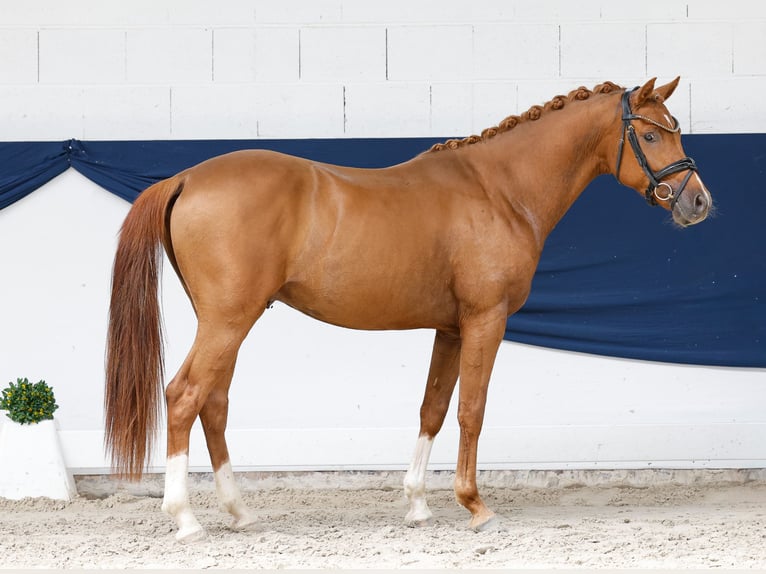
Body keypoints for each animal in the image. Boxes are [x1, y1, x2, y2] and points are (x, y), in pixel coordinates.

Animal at [105, 77, 712, 542]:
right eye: (650, 133)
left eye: (676, 127)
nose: (698, 201)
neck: (499, 189)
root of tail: (186, 177)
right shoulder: (485, 320)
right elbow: (472, 410)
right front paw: (475, 505)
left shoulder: (450, 327)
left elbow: (433, 409)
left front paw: (418, 504)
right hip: (228, 321)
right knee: (184, 397)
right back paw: (185, 519)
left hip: (228, 322)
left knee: (214, 403)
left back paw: (241, 512)